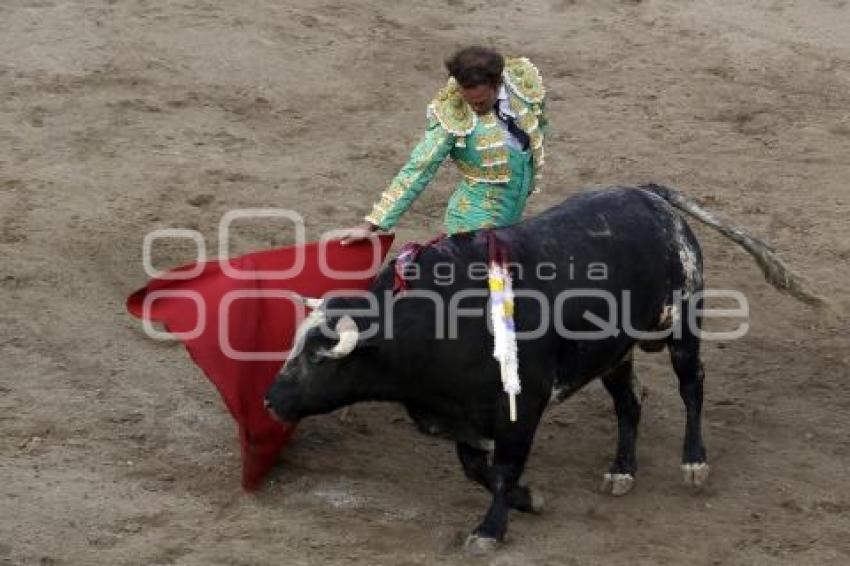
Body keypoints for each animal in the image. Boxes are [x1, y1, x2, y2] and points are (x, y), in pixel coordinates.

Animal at [266, 185, 820, 556]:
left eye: (316, 359)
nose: (271, 400)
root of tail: (649, 194)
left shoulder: (521, 407)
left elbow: (505, 468)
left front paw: (489, 531)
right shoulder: (463, 415)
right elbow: (479, 469)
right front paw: (529, 500)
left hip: (683, 324)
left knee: (692, 386)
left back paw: (694, 463)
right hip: (613, 353)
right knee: (630, 401)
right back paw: (622, 469)